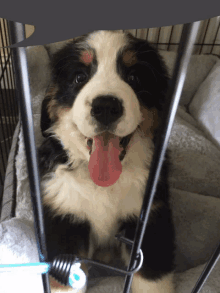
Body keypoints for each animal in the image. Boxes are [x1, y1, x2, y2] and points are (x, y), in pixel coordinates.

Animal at [37, 30, 175, 290]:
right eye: (79, 77)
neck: (102, 184)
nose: (105, 106)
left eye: (134, 77)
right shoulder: (64, 219)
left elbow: (151, 280)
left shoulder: (149, 220)